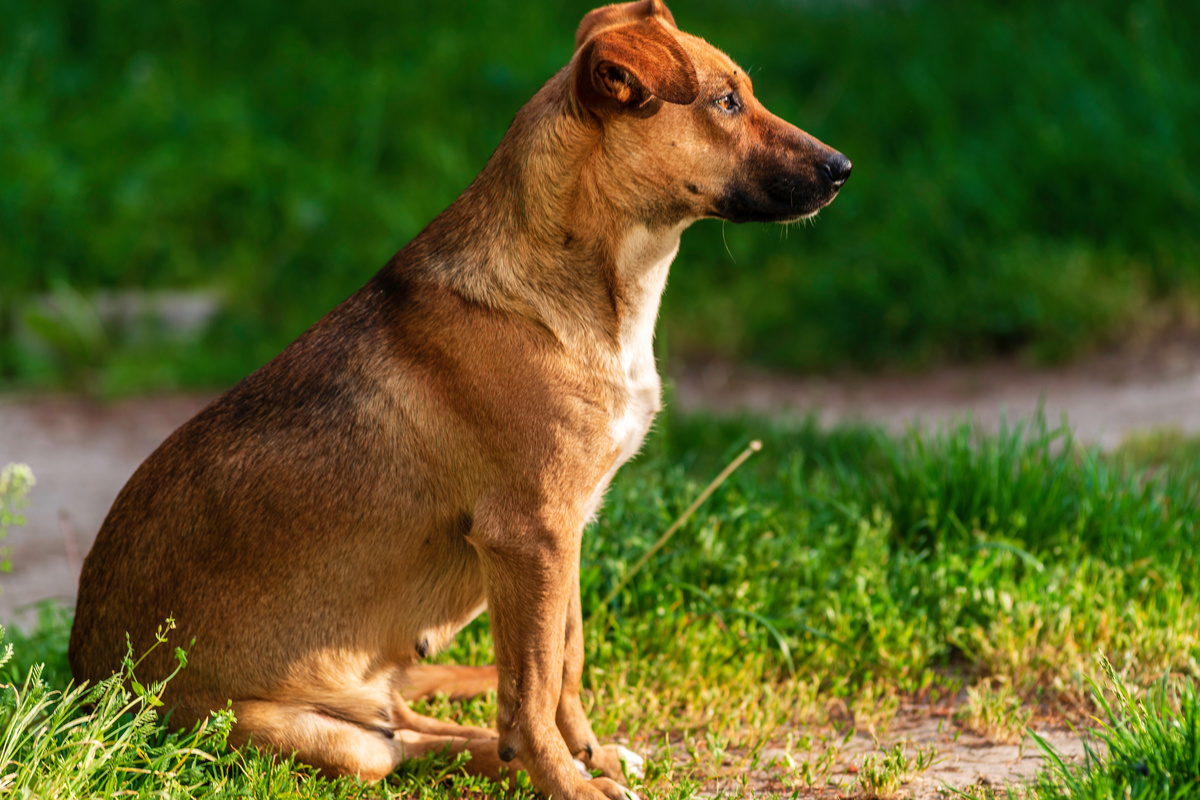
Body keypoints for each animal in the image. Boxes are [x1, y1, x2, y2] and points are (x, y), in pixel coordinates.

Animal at [68, 3, 854, 796]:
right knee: (412, 741)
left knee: (428, 730)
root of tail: (81, 692)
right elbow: (534, 691)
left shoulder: (565, 533)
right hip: (323, 741)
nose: (842, 169)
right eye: (725, 102)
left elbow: (563, 669)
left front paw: (590, 759)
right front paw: (570, 784)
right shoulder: (531, 535)